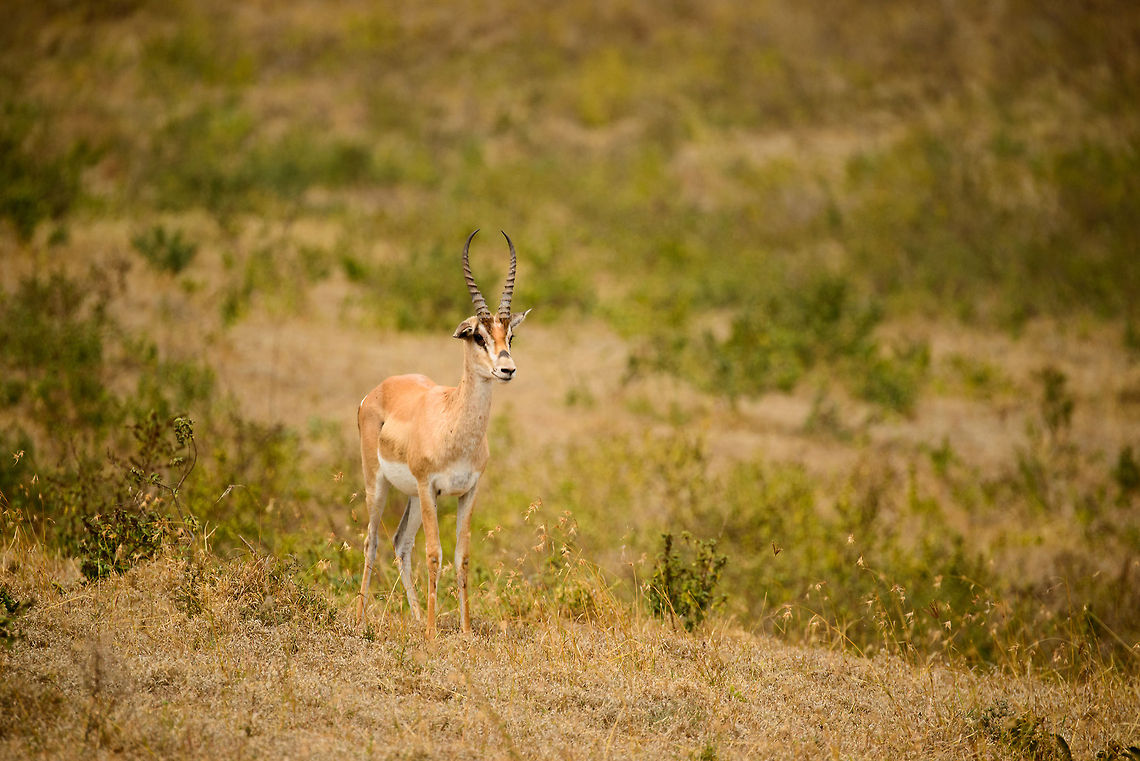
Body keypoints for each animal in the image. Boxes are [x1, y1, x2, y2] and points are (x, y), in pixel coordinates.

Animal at [356, 229, 530, 639]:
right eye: (478, 337)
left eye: (510, 335)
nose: (507, 369)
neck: (453, 425)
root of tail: (375, 391)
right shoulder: (429, 486)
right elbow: (434, 554)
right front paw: (435, 635)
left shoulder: (468, 491)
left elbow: (461, 556)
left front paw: (464, 630)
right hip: (382, 484)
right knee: (372, 540)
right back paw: (363, 620)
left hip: (415, 498)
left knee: (400, 542)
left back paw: (418, 618)